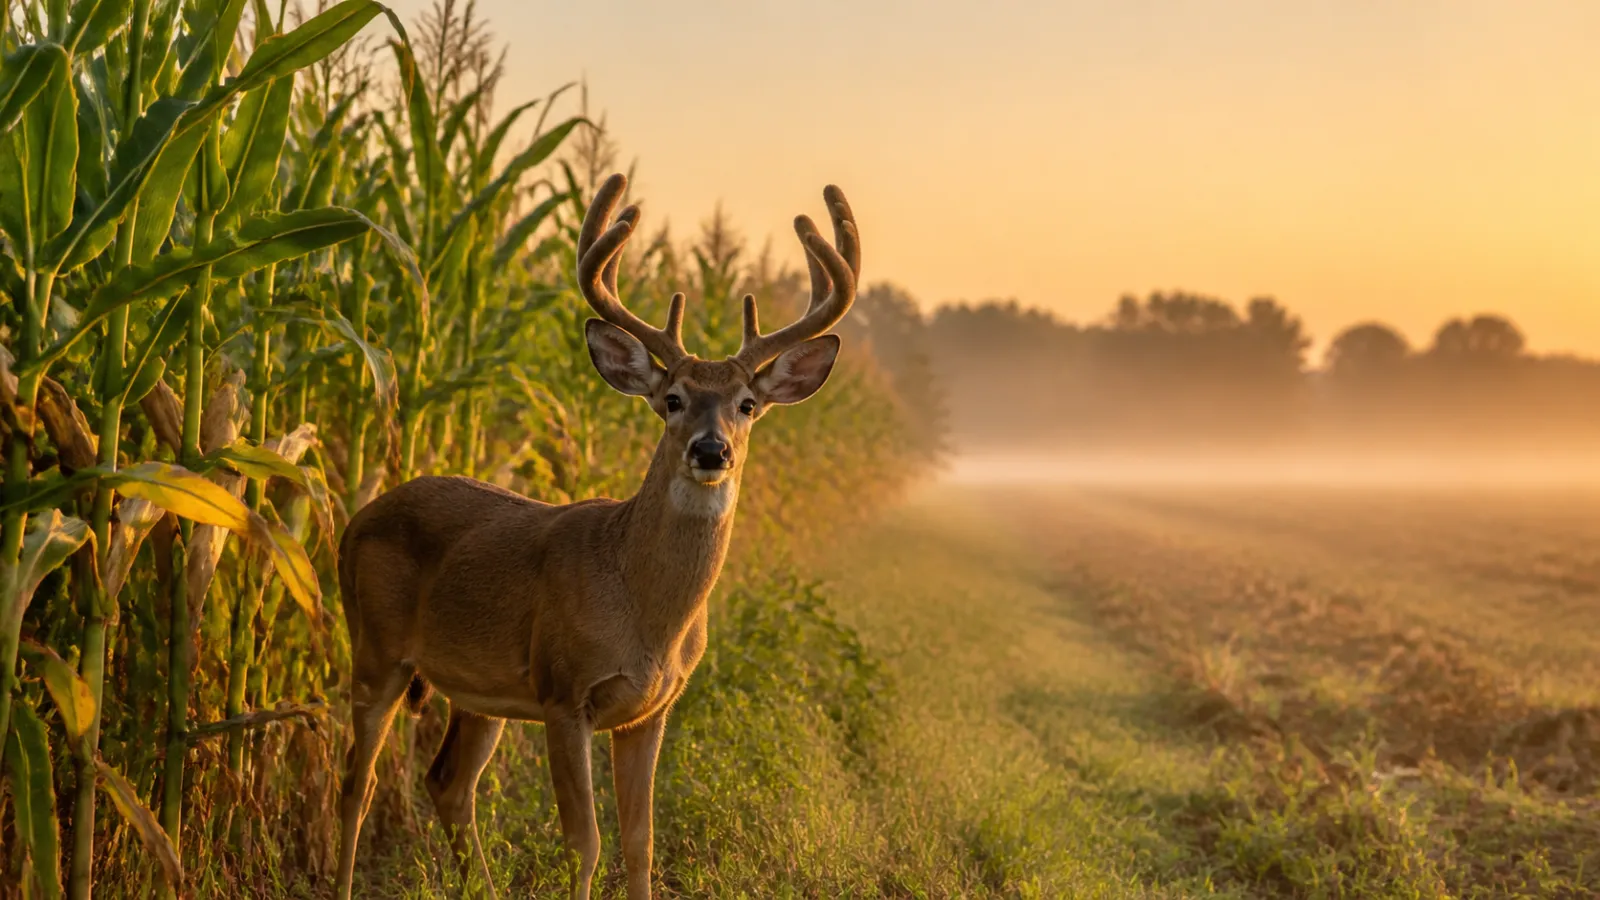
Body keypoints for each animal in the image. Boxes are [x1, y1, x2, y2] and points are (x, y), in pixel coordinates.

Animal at [333, 172, 860, 900]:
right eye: (672, 399)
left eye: (748, 405)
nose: (711, 450)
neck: (646, 614)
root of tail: (355, 519)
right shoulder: (565, 690)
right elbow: (584, 843)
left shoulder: (651, 709)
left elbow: (641, 843)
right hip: (376, 647)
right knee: (355, 788)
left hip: (479, 687)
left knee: (448, 785)